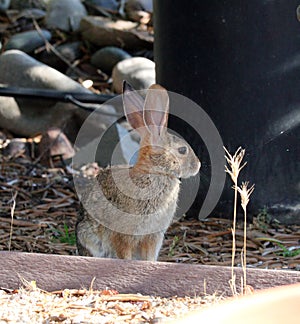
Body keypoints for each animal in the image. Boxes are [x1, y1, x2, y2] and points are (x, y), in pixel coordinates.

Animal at [76, 81, 200, 260]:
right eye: (183, 150)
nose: (198, 165)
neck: (154, 172)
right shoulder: (123, 235)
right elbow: (124, 254)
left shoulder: (152, 237)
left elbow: (148, 257)